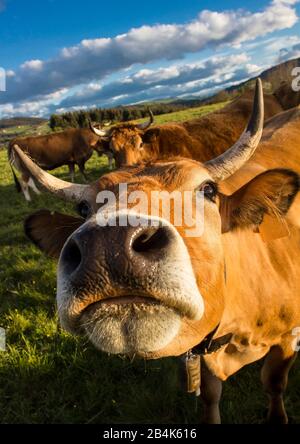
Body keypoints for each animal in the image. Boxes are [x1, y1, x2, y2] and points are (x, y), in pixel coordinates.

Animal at [12, 80, 300, 424]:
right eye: (83, 208)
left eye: (208, 190)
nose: (109, 246)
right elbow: (210, 398)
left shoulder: (287, 340)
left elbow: (273, 383)